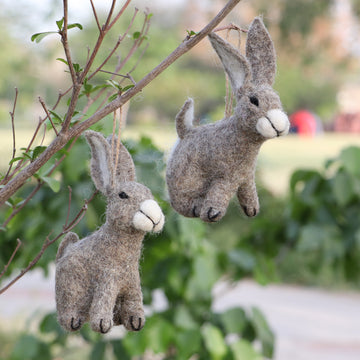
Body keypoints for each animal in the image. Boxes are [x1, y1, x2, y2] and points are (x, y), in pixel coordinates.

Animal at [55, 130, 165, 334]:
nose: (155, 216)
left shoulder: (132, 283)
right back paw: (73, 321)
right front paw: (102, 324)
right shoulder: (107, 279)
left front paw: (136, 321)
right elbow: (103, 301)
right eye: (123, 195)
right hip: (69, 288)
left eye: (150, 194)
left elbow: (134, 302)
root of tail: (64, 252)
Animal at [167, 16, 290, 222]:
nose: (280, 126)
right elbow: (221, 191)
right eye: (254, 101)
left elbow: (248, 191)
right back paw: (197, 207)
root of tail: (185, 132)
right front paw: (212, 213)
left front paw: (252, 209)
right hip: (185, 176)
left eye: (278, 101)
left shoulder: (246, 177)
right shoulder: (227, 176)